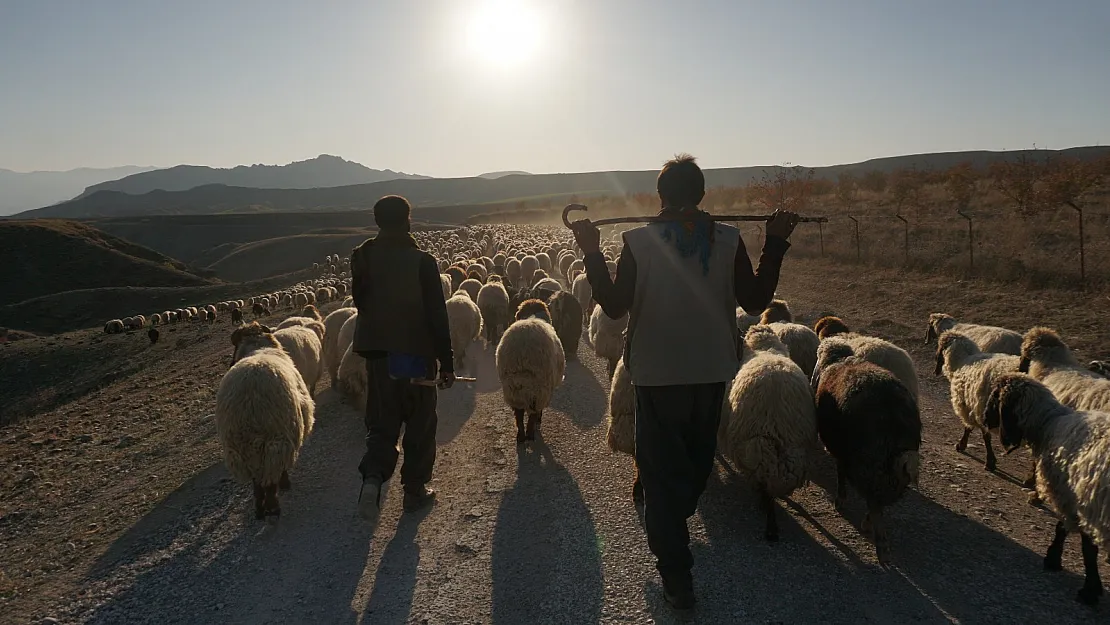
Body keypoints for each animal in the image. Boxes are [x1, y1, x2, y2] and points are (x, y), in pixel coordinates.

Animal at [216, 326, 315, 521]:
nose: (230, 362)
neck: (257, 347)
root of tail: (250, 399)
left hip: (244, 445)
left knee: (257, 481)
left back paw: (260, 509)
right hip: (276, 438)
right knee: (271, 476)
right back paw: (273, 506)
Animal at [495, 299, 563, 441]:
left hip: (512, 386)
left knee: (518, 414)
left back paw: (521, 436)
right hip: (539, 386)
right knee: (533, 412)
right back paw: (530, 433)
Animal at [812, 341, 923, 568]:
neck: (838, 360)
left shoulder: (841, 450)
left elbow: (840, 473)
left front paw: (840, 500)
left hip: (867, 462)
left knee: (875, 501)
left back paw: (881, 546)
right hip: (893, 469)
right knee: (883, 498)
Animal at [932, 333, 1016, 475]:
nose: (935, 371)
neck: (963, 361)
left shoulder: (972, 405)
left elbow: (976, 431)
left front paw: (988, 461)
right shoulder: (975, 406)